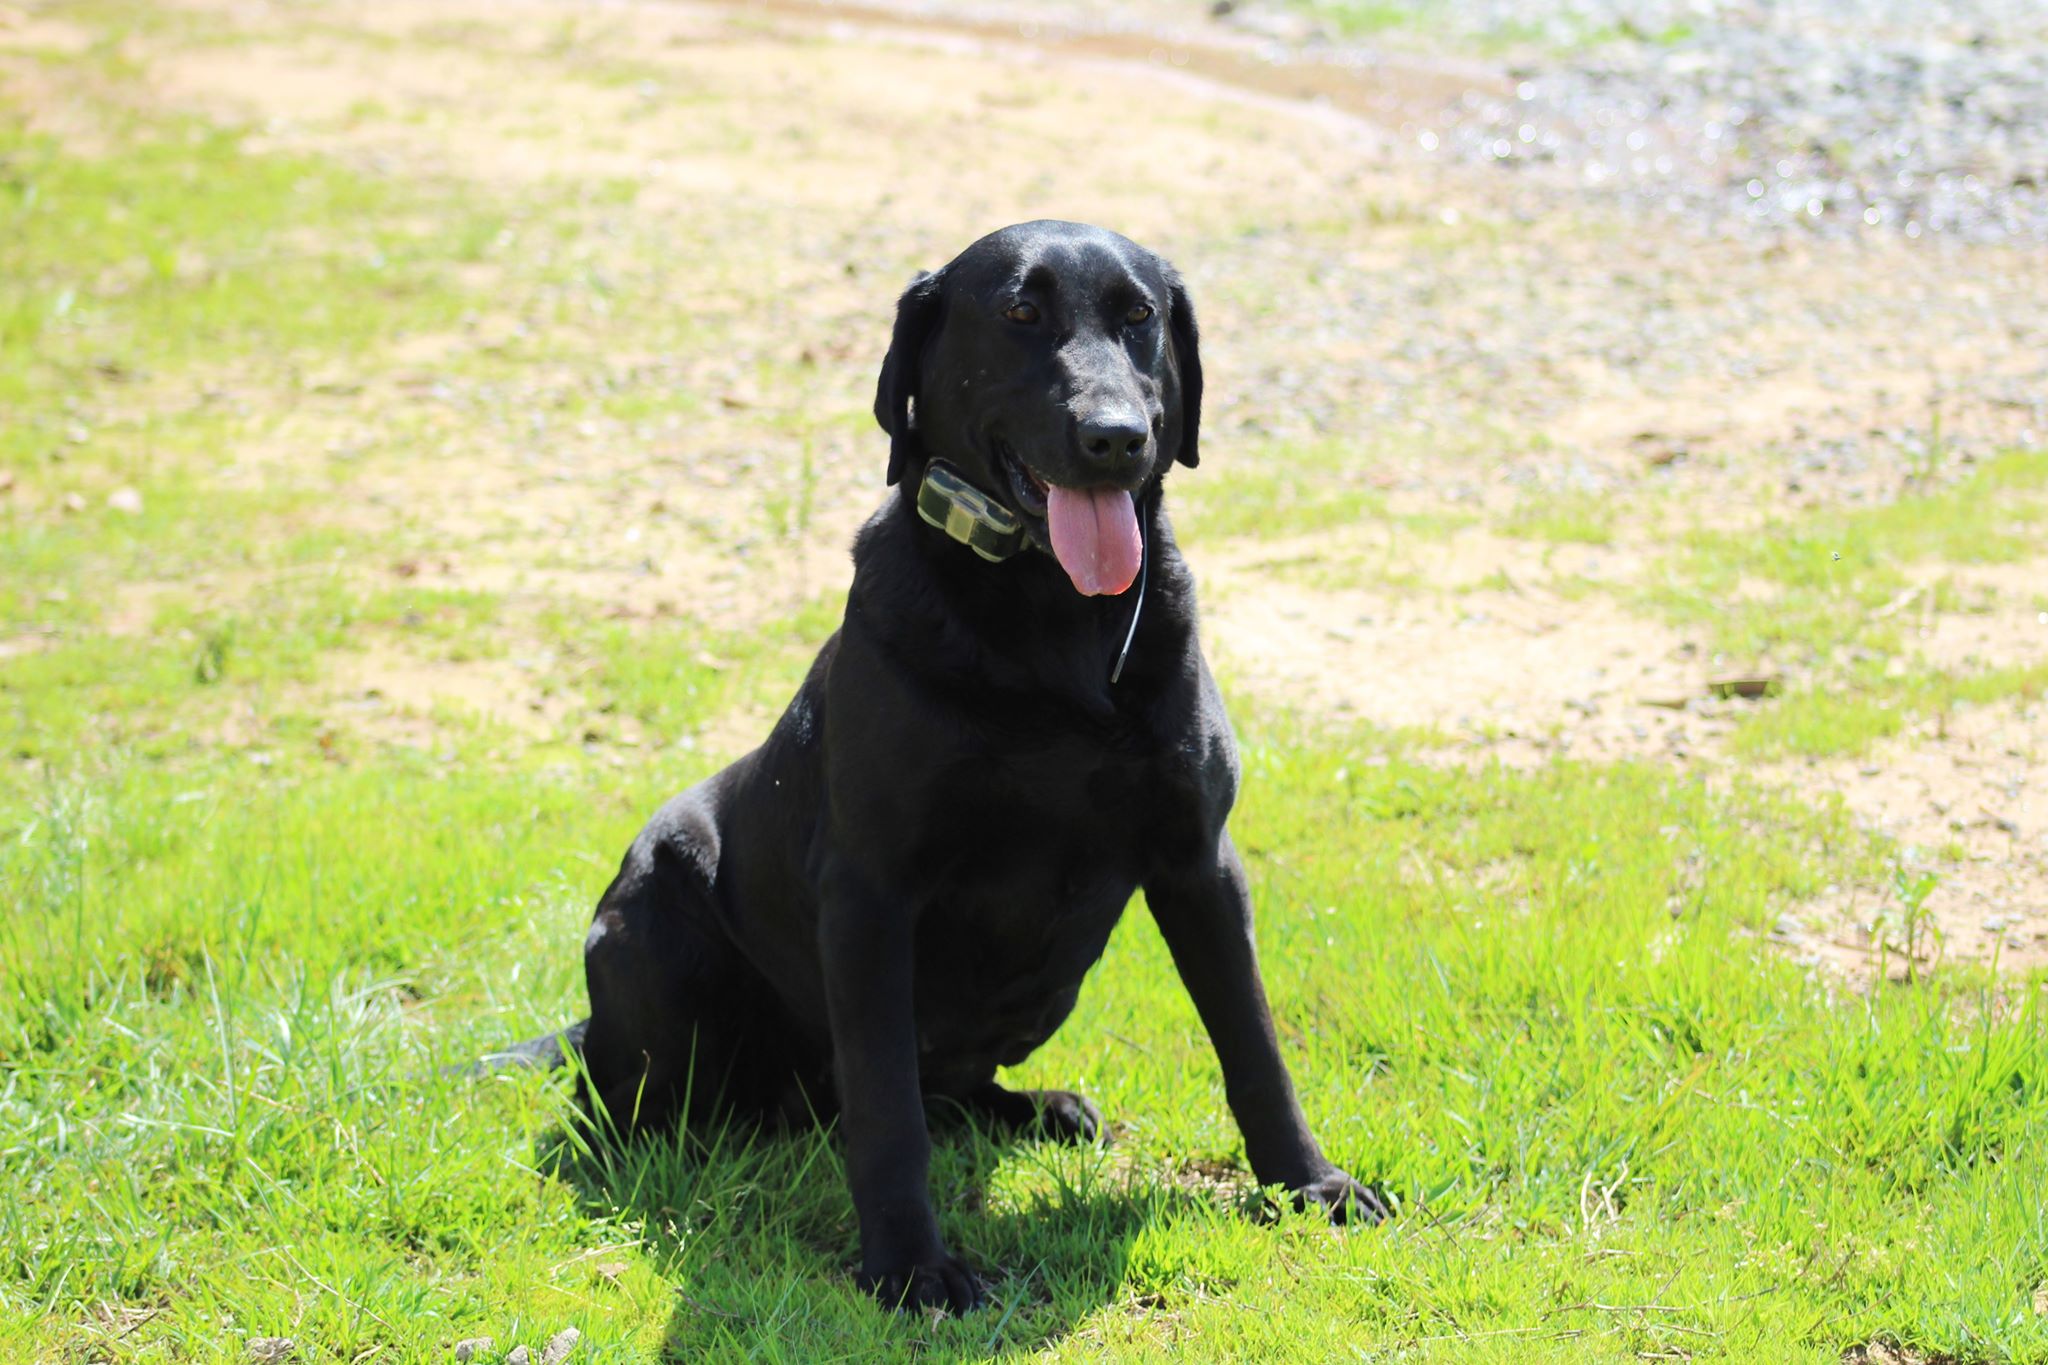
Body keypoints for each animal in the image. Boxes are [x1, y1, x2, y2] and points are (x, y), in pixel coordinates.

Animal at [495, 224, 1392, 1309]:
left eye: (1138, 317)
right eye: (1019, 314)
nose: (1115, 437)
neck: (1050, 616)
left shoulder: (1199, 861)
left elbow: (1254, 1046)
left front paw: (1309, 1183)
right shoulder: (870, 896)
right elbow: (885, 1108)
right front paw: (910, 1266)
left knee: (946, 1090)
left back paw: (1040, 1109)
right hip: (651, 941)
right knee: (643, 1112)